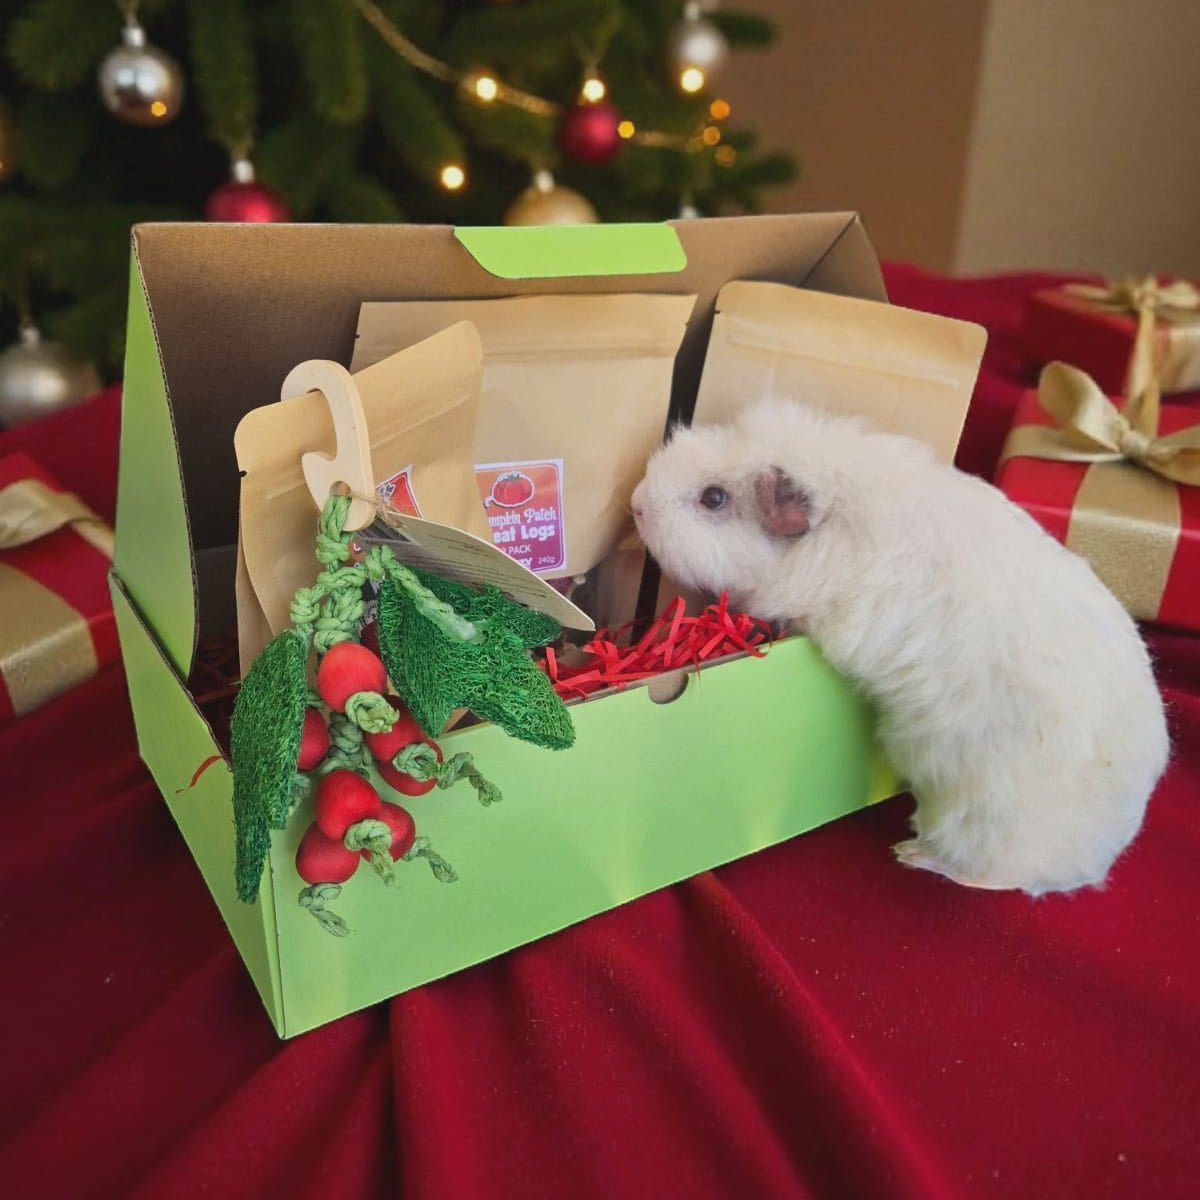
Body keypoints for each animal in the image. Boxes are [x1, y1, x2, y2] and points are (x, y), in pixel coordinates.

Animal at [630, 398, 1169, 895]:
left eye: (714, 498)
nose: (636, 502)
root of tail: (1103, 851)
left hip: (976, 820)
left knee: (990, 876)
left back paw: (910, 854)